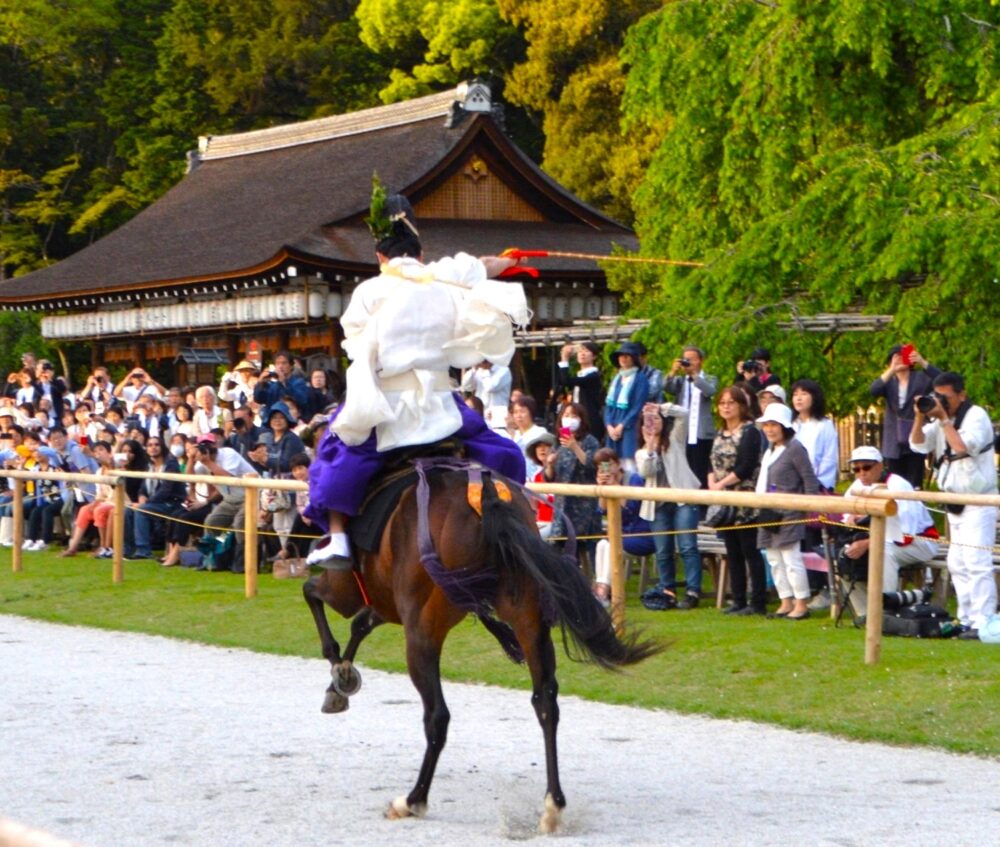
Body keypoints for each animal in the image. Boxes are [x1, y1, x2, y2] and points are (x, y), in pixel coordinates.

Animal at [302, 460, 661, 832]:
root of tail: (486, 496)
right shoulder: (383, 604)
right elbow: (360, 624)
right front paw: (340, 681)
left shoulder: (348, 590)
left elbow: (313, 593)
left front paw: (338, 672)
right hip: (527, 618)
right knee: (545, 701)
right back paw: (552, 805)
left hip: (421, 631)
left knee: (437, 715)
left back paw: (413, 800)